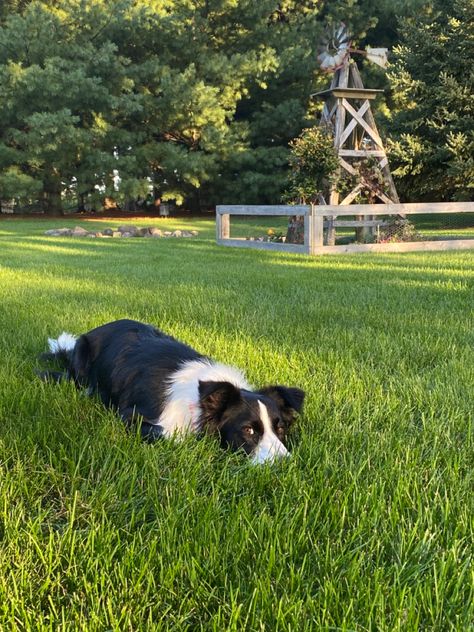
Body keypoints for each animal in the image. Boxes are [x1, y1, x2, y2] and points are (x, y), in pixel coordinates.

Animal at [41, 320, 308, 464]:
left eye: (281, 428)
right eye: (249, 430)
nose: (284, 464)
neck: (199, 403)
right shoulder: (131, 416)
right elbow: (170, 436)